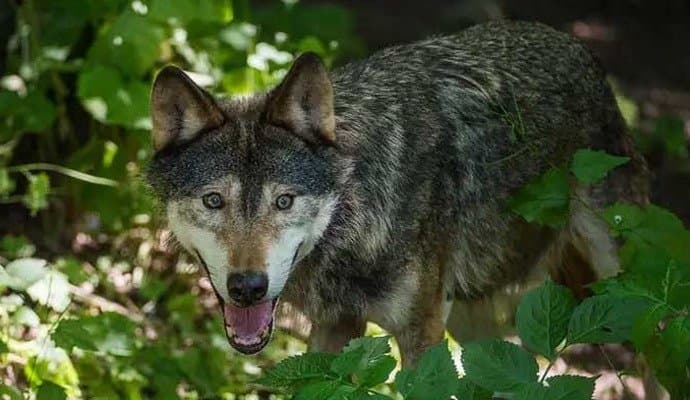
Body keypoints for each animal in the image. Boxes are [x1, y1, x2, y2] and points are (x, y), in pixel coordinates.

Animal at [146, 20, 648, 363]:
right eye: (214, 201)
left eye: (283, 201)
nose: (248, 287)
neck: (357, 211)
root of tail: (574, 44)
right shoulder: (335, 327)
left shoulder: (420, 334)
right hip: (469, 319)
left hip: (627, 291)